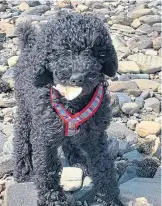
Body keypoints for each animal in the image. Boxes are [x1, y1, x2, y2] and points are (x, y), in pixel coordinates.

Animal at [13, 11, 123, 206]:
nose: (78, 77)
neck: (73, 102)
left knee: (69, 141)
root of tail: (28, 47)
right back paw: (23, 170)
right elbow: (47, 169)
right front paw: (53, 199)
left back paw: (79, 162)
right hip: (25, 109)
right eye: (61, 53)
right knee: (21, 137)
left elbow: (103, 166)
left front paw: (109, 197)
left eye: (95, 52)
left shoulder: (95, 135)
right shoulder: (45, 137)